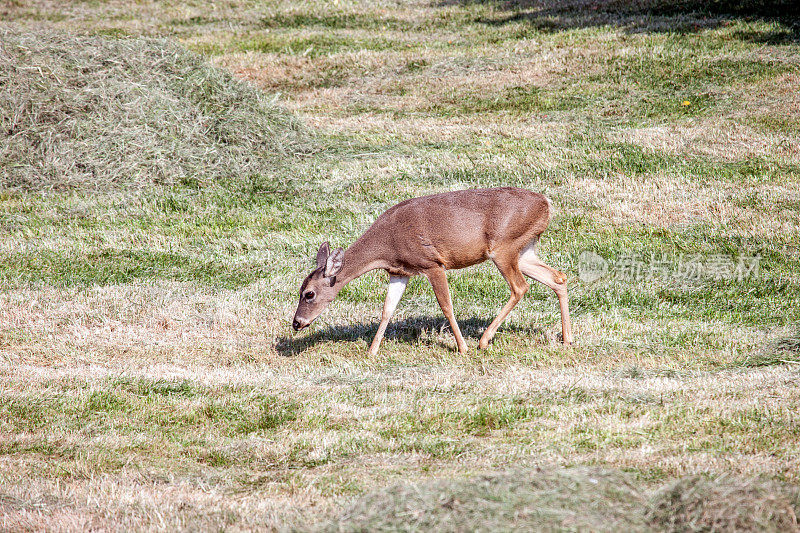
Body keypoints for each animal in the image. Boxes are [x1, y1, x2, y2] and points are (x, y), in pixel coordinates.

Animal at [290, 185, 572, 356]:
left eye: (309, 294)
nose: (296, 323)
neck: (386, 245)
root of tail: (546, 204)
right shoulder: (399, 271)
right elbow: (387, 310)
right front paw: (371, 351)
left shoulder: (431, 263)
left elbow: (446, 306)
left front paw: (462, 348)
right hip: (524, 250)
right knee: (558, 276)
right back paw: (567, 338)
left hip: (504, 247)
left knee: (520, 287)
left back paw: (483, 340)